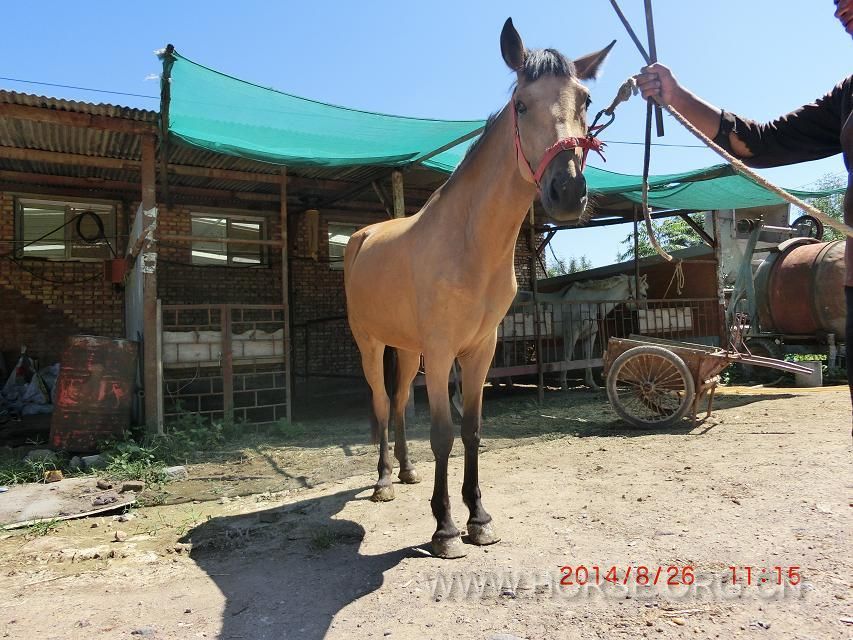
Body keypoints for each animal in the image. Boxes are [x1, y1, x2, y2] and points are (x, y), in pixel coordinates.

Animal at [342, 18, 616, 560]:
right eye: (522, 105)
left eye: (586, 100)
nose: (568, 192)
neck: (468, 242)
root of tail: (361, 239)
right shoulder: (442, 351)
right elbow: (443, 434)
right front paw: (445, 528)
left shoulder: (480, 349)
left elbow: (471, 430)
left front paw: (479, 518)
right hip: (371, 344)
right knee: (382, 402)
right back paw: (383, 480)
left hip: (407, 348)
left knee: (399, 401)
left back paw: (405, 472)